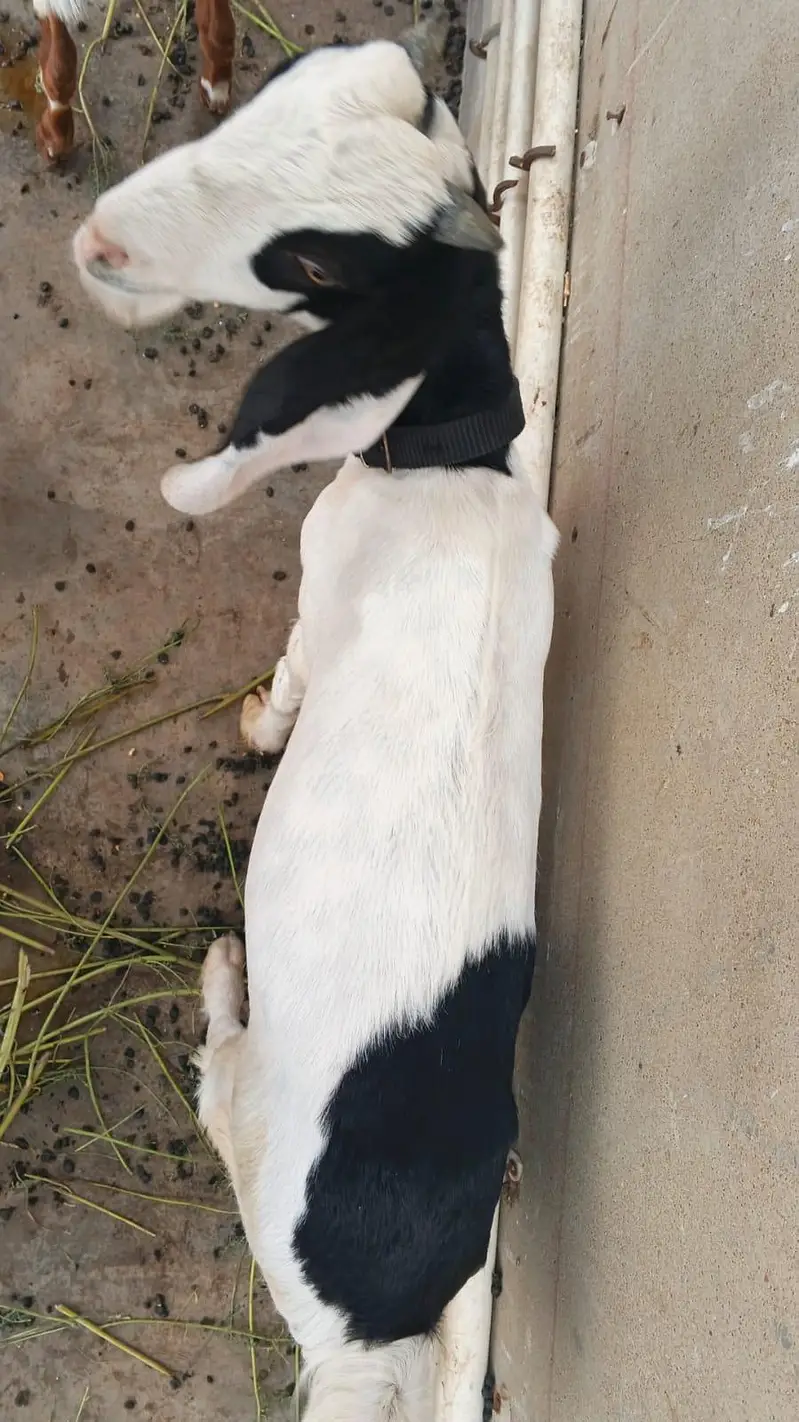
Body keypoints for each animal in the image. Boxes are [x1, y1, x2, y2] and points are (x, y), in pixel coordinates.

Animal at [72, 21, 558, 1421]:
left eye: (311, 263)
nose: (100, 244)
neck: (461, 463)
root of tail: (362, 1334)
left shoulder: (318, 589)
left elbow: (287, 683)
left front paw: (252, 728)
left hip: (260, 1116)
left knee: (222, 1098)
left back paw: (223, 974)